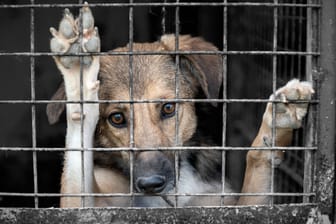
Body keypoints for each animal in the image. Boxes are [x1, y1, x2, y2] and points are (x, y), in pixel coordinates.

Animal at [46, 2, 314, 207]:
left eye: (168, 108)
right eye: (117, 118)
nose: (151, 184)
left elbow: (256, 159)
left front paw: (276, 123)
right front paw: (79, 77)